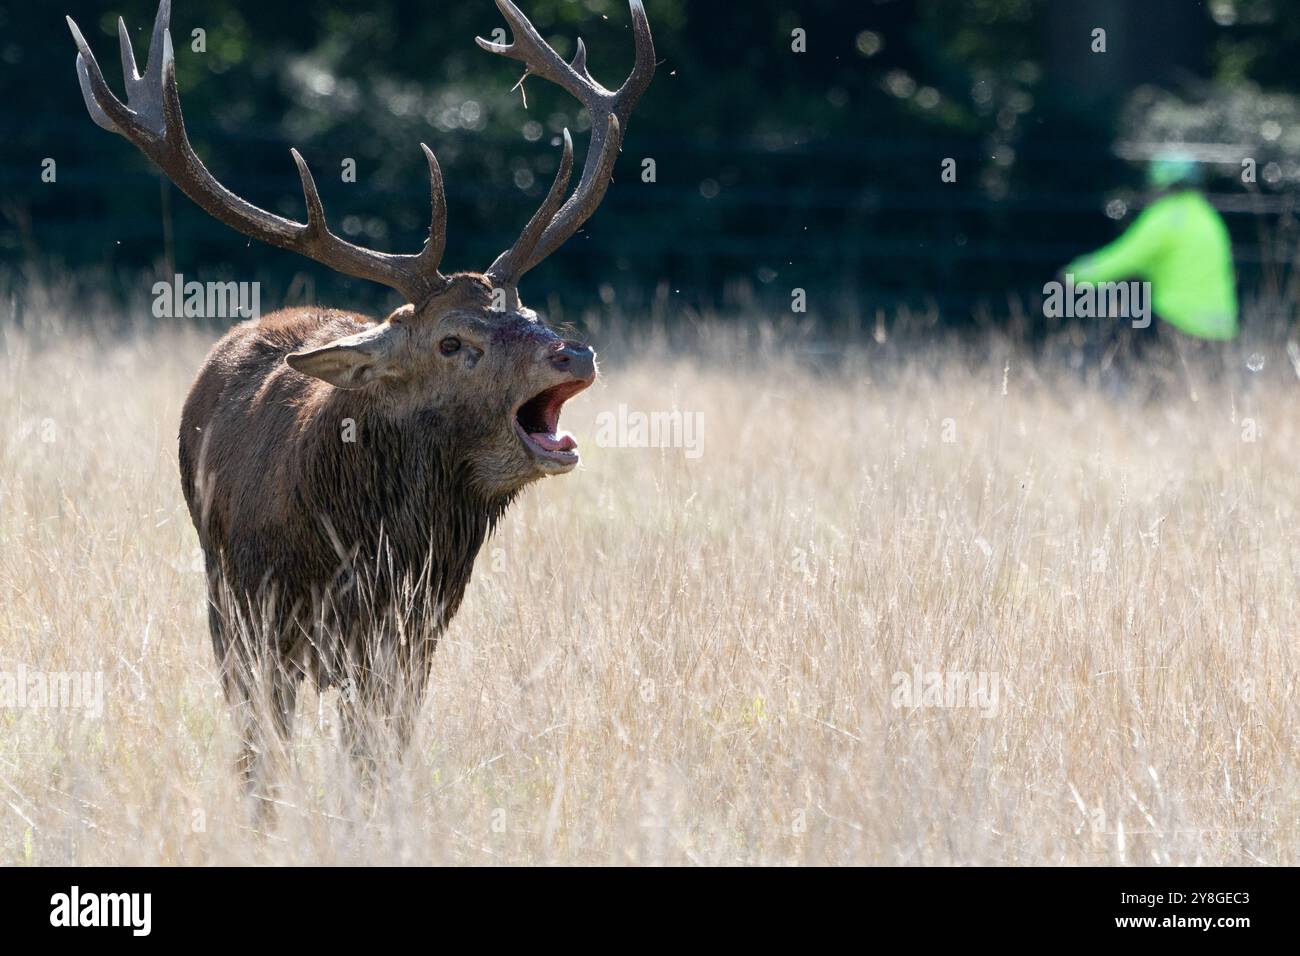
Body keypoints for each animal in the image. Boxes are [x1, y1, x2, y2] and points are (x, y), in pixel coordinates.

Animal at [67, 0, 653, 796]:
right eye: (450, 342)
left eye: (530, 310)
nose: (575, 351)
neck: (353, 549)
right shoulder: (252, 623)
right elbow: (262, 764)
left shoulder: (409, 640)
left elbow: (376, 767)